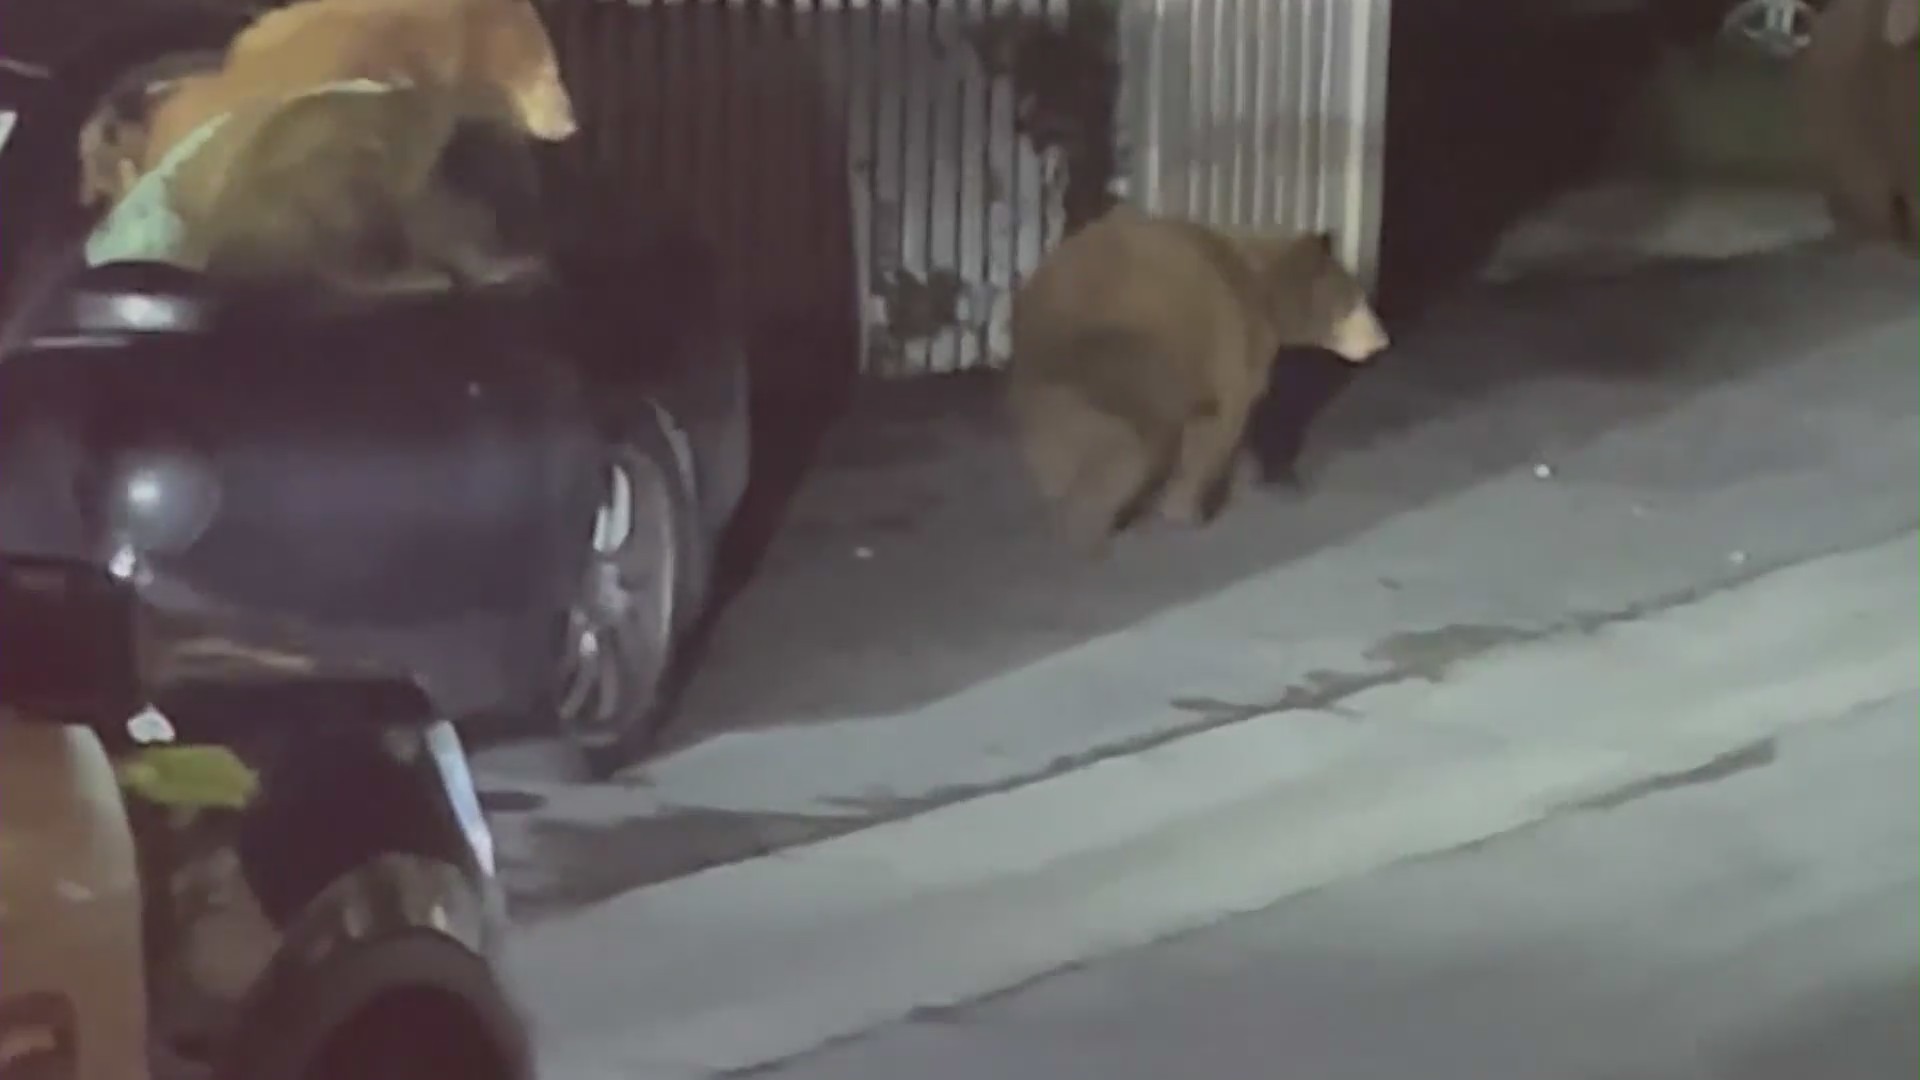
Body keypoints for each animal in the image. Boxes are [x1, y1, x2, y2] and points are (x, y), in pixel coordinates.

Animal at [1006, 203, 1397, 553]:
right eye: (1353, 301)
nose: (1382, 340)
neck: (1264, 288)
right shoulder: (1231, 343)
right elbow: (1219, 425)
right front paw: (1187, 510)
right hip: (1116, 366)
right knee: (1131, 447)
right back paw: (1096, 523)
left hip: (1048, 392)